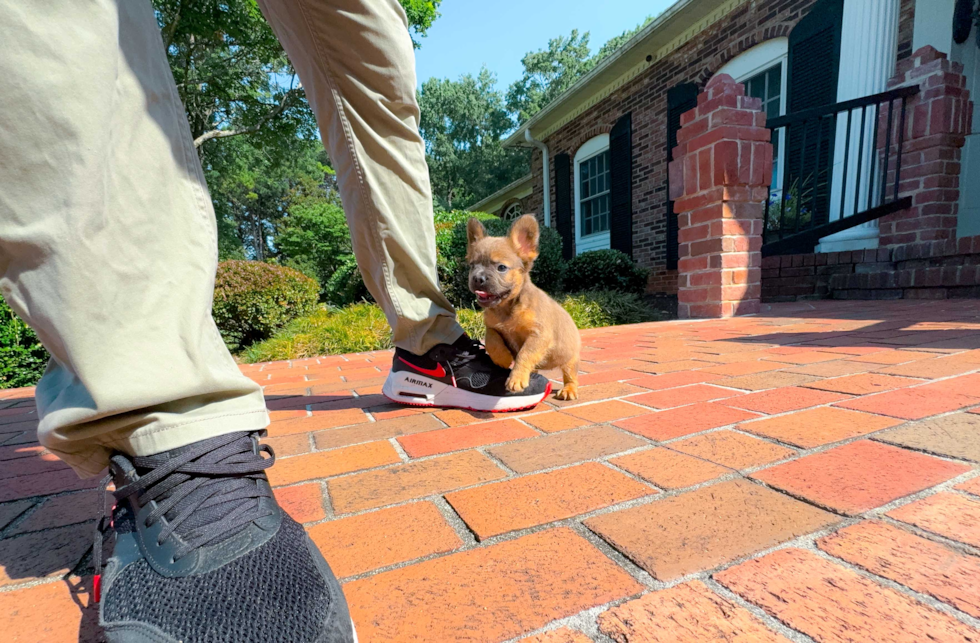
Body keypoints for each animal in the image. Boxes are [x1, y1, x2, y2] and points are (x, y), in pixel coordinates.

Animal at [466, 214, 580, 400]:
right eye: (472, 266)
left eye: (501, 268)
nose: (477, 278)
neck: (506, 309)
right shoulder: (491, 327)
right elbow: (491, 339)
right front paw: (502, 357)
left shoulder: (538, 335)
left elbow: (524, 354)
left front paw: (517, 378)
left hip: (570, 359)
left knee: (570, 375)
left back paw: (569, 390)